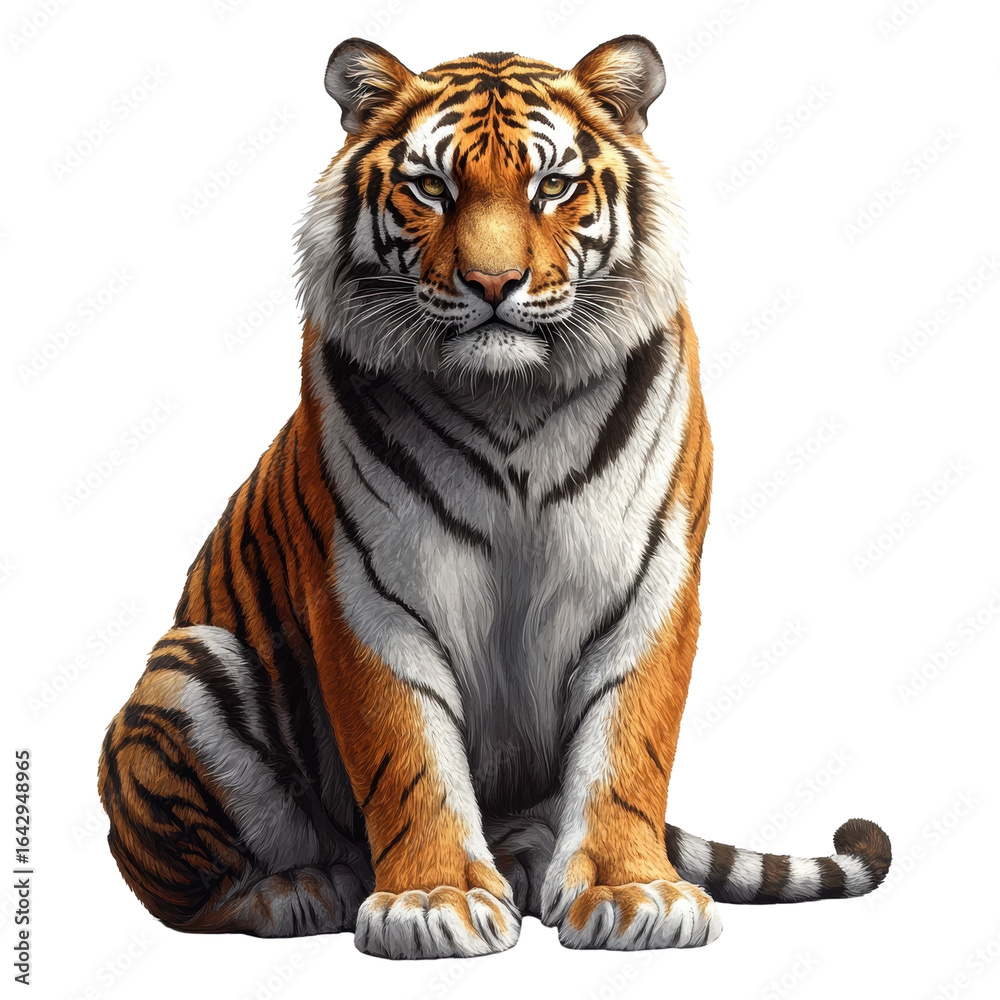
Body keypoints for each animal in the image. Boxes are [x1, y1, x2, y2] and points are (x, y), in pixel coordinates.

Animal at [97, 35, 891, 959]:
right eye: (431, 188)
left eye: (552, 185)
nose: (492, 281)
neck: (513, 401)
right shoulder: (369, 589)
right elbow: (408, 754)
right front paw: (432, 899)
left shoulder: (651, 577)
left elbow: (628, 744)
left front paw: (632, 893)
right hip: (191, 667)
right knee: (180, 894)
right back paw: (298, 891)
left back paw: (525, 859)